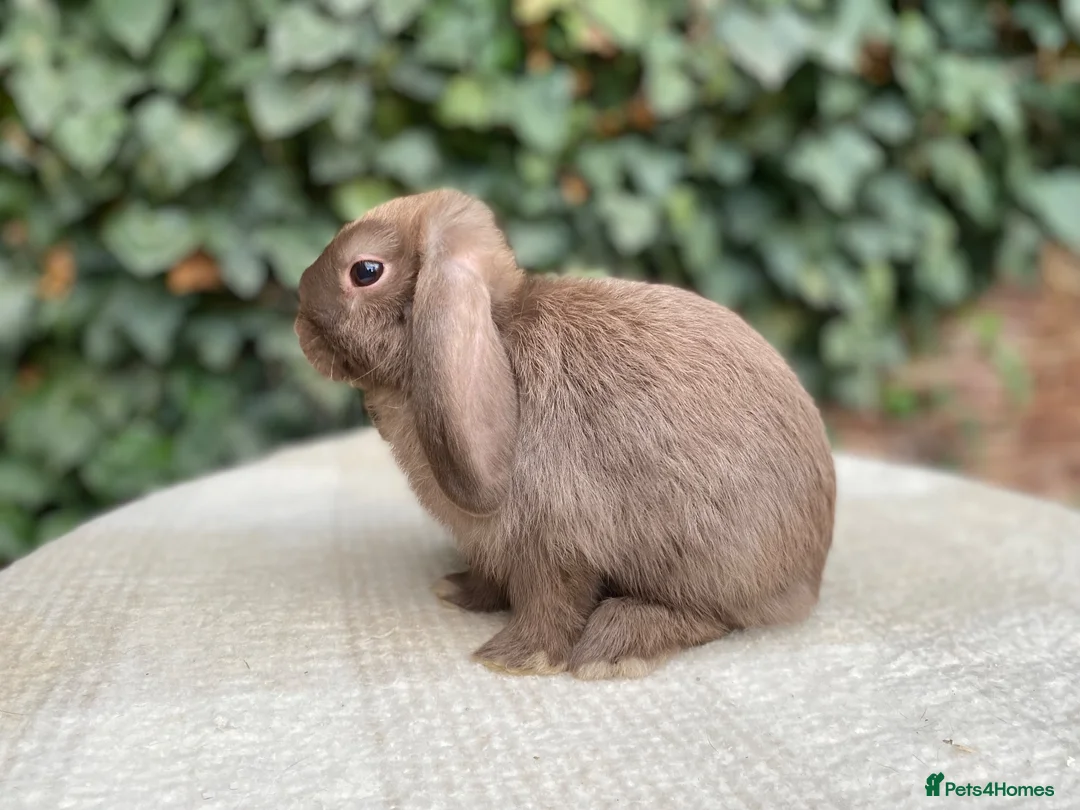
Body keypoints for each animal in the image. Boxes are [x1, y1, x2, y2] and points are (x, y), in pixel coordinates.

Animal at [294, 188, 836, 680]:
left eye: (365, 271)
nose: (299, 316)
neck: (498, 334)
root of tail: (810, 576)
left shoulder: (555, 540)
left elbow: (552, 601)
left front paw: (514, 659)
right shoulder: (500, 547)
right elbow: (493, 578)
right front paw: (459, 592)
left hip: (701, 560)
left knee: (707, 616)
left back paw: (613, 649)